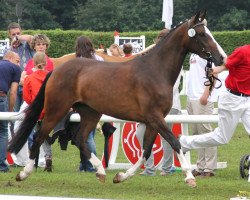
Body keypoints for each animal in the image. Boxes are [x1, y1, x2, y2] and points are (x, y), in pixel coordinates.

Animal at [8, 10, 226, 187]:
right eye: (202, 34)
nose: (222, 58)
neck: (155, 71)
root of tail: (56, 70)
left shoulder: (153, 121)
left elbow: (146, 150)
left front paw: (121, 176)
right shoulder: (155, 117)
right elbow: (174, 142)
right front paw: (189, 177)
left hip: (90, 113)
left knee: (79, 138)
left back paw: (101, 171)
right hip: (57, 109)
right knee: (39, 135)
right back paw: (24, 173)